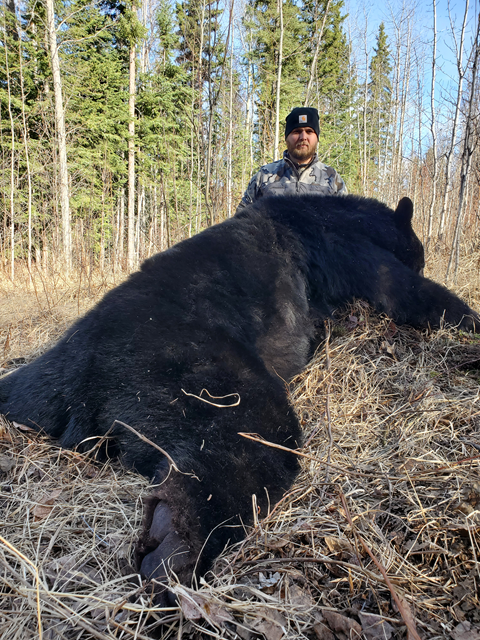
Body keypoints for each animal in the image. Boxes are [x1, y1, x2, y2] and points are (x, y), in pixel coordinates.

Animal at [0, 194, 478, 597]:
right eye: (419, 255)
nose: (423, 260)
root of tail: (78, 369)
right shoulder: (347, 249)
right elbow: (402, 290)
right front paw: (466, 318)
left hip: (34, 388)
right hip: (194, 368)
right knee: (248, 440)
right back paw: (174, 548)